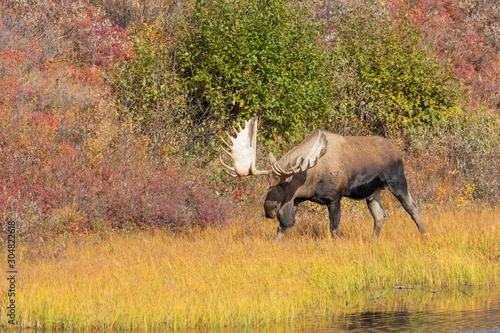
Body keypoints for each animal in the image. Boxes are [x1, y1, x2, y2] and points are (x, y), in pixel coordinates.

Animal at [220, 116, 426, 239]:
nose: (269, 209)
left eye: (284, 183)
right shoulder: (295, 200)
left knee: (413, 207)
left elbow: (334, 230)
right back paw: (373, 240)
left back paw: (424, 235)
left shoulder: (334, 198)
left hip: (397, 182)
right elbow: (282, 227)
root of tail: (398, 151)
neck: (308, 181)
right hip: (373, 193)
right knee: (380, 216)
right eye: (268, 182)